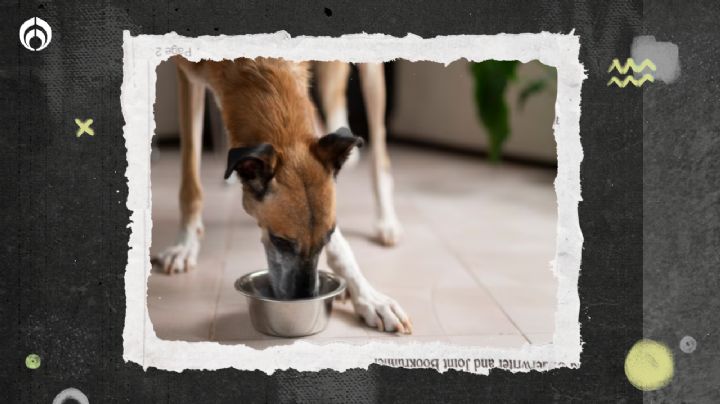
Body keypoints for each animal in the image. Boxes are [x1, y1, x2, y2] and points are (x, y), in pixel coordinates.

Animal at [152, 57, 410, 334]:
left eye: (328, 236)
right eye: (280, 241)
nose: (306, 297)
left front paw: (367, 296)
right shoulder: (187, 78)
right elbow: (190, 181)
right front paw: (185, 244)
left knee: (378, 153)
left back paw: (386, 221)